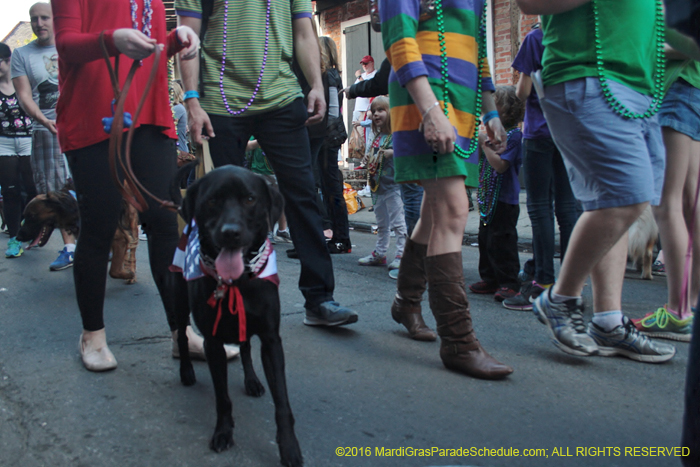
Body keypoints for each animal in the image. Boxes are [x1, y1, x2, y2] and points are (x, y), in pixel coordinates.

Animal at [175, 165, 300, 467]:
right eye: (212, 200)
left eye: (250, 199)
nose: (230, 232)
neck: (238, 281)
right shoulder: (212, 342)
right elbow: (222, 398)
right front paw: (223, 432)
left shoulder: (270, 339)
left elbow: (282, 402)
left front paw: (289, 446)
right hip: (178, 299)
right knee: (181, 333)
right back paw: (186, 371)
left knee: (244, 348)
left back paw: (252, 381)